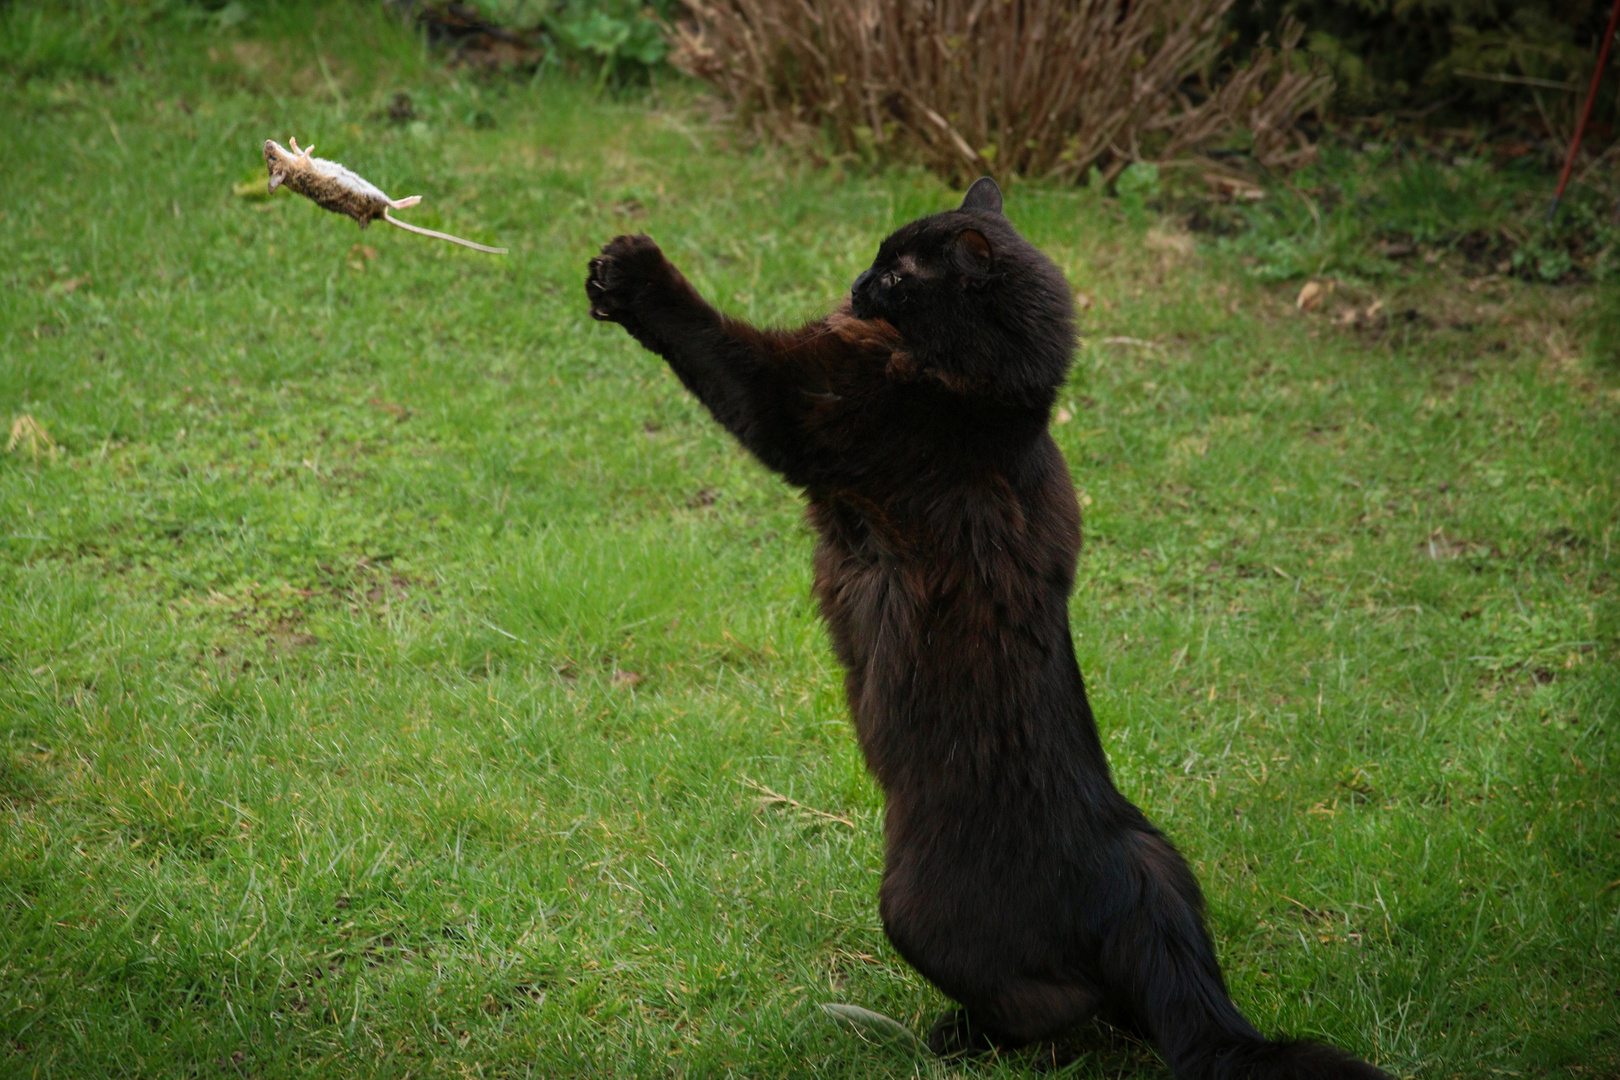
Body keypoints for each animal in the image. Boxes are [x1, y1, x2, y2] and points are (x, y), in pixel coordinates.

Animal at [583, 177, 1393, 1080]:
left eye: (897, 277)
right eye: (876, 263)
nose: (856, 283)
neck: (995, 405)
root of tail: (1133, 881)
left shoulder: (805, 407)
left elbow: (718, 345)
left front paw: (634, 274)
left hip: (915, 908)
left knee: (1059, 1008)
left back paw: (959, 1036)